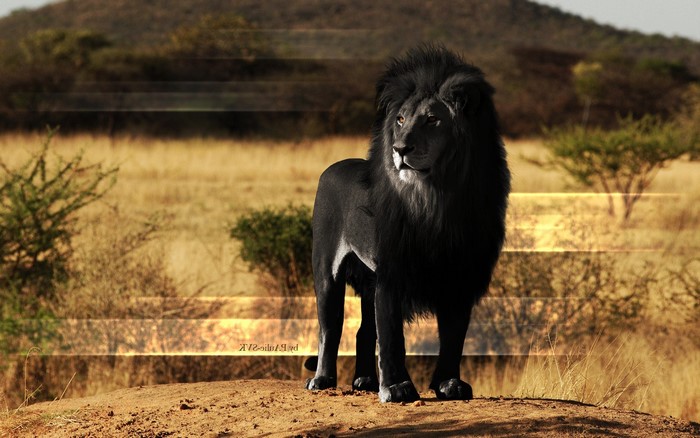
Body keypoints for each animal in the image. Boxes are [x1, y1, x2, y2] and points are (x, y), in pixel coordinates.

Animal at [305, 46, 510, 402]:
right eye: (400, 120)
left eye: (432, 119)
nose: (400, 148)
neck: (438, 199)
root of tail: (333, 166)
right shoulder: (392, 271)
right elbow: (392, 336)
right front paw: (398, 388)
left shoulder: (461, 275)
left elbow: (454, 336)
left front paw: (449, 385)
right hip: (327, 269)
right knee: (329, 327)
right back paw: (323, 380)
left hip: (368, 280)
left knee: (363, 331)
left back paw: (364, 381)